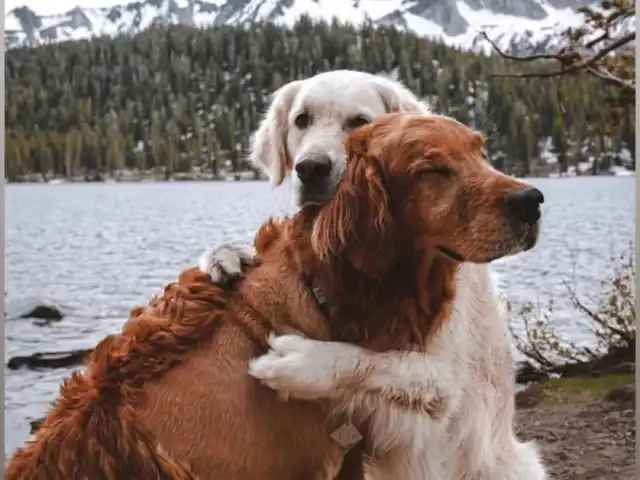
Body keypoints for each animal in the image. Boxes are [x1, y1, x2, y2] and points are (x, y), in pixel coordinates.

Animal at [199, 69, 544, 478]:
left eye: (359, 122)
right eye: (302, 120)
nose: (310, 168)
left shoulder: (446, 379)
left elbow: (374, 363)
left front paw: (300, 362)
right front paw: (226, 255)